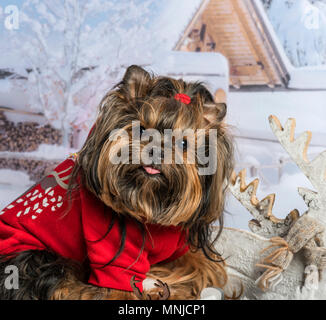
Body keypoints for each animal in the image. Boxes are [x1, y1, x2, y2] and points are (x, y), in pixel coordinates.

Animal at [0, 65, 234, 300]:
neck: (150, 201)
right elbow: (119, 289)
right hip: (35, 261)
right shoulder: (114, 254)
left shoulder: (183, 252)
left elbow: (202, 266)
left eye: (184, 143)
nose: (156, 151)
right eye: (141, 129)